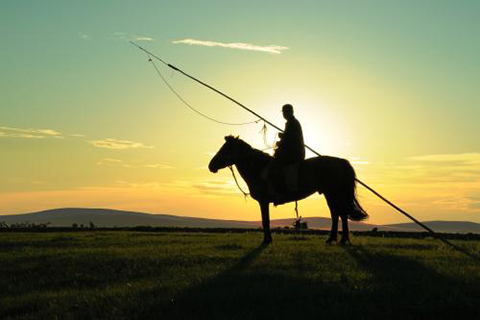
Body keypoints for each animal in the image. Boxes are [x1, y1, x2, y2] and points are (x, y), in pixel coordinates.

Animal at [207, 134, 368, 244]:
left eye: (226, 150)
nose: (211, 165)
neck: (259, 169)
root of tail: (340, 161)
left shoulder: (263, 201)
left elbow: (265, 220)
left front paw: (267, 240)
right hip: (332, 194)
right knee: (339, 214)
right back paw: (336, 239)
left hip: (333, 193)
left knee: (339, 214)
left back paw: (338, 239)